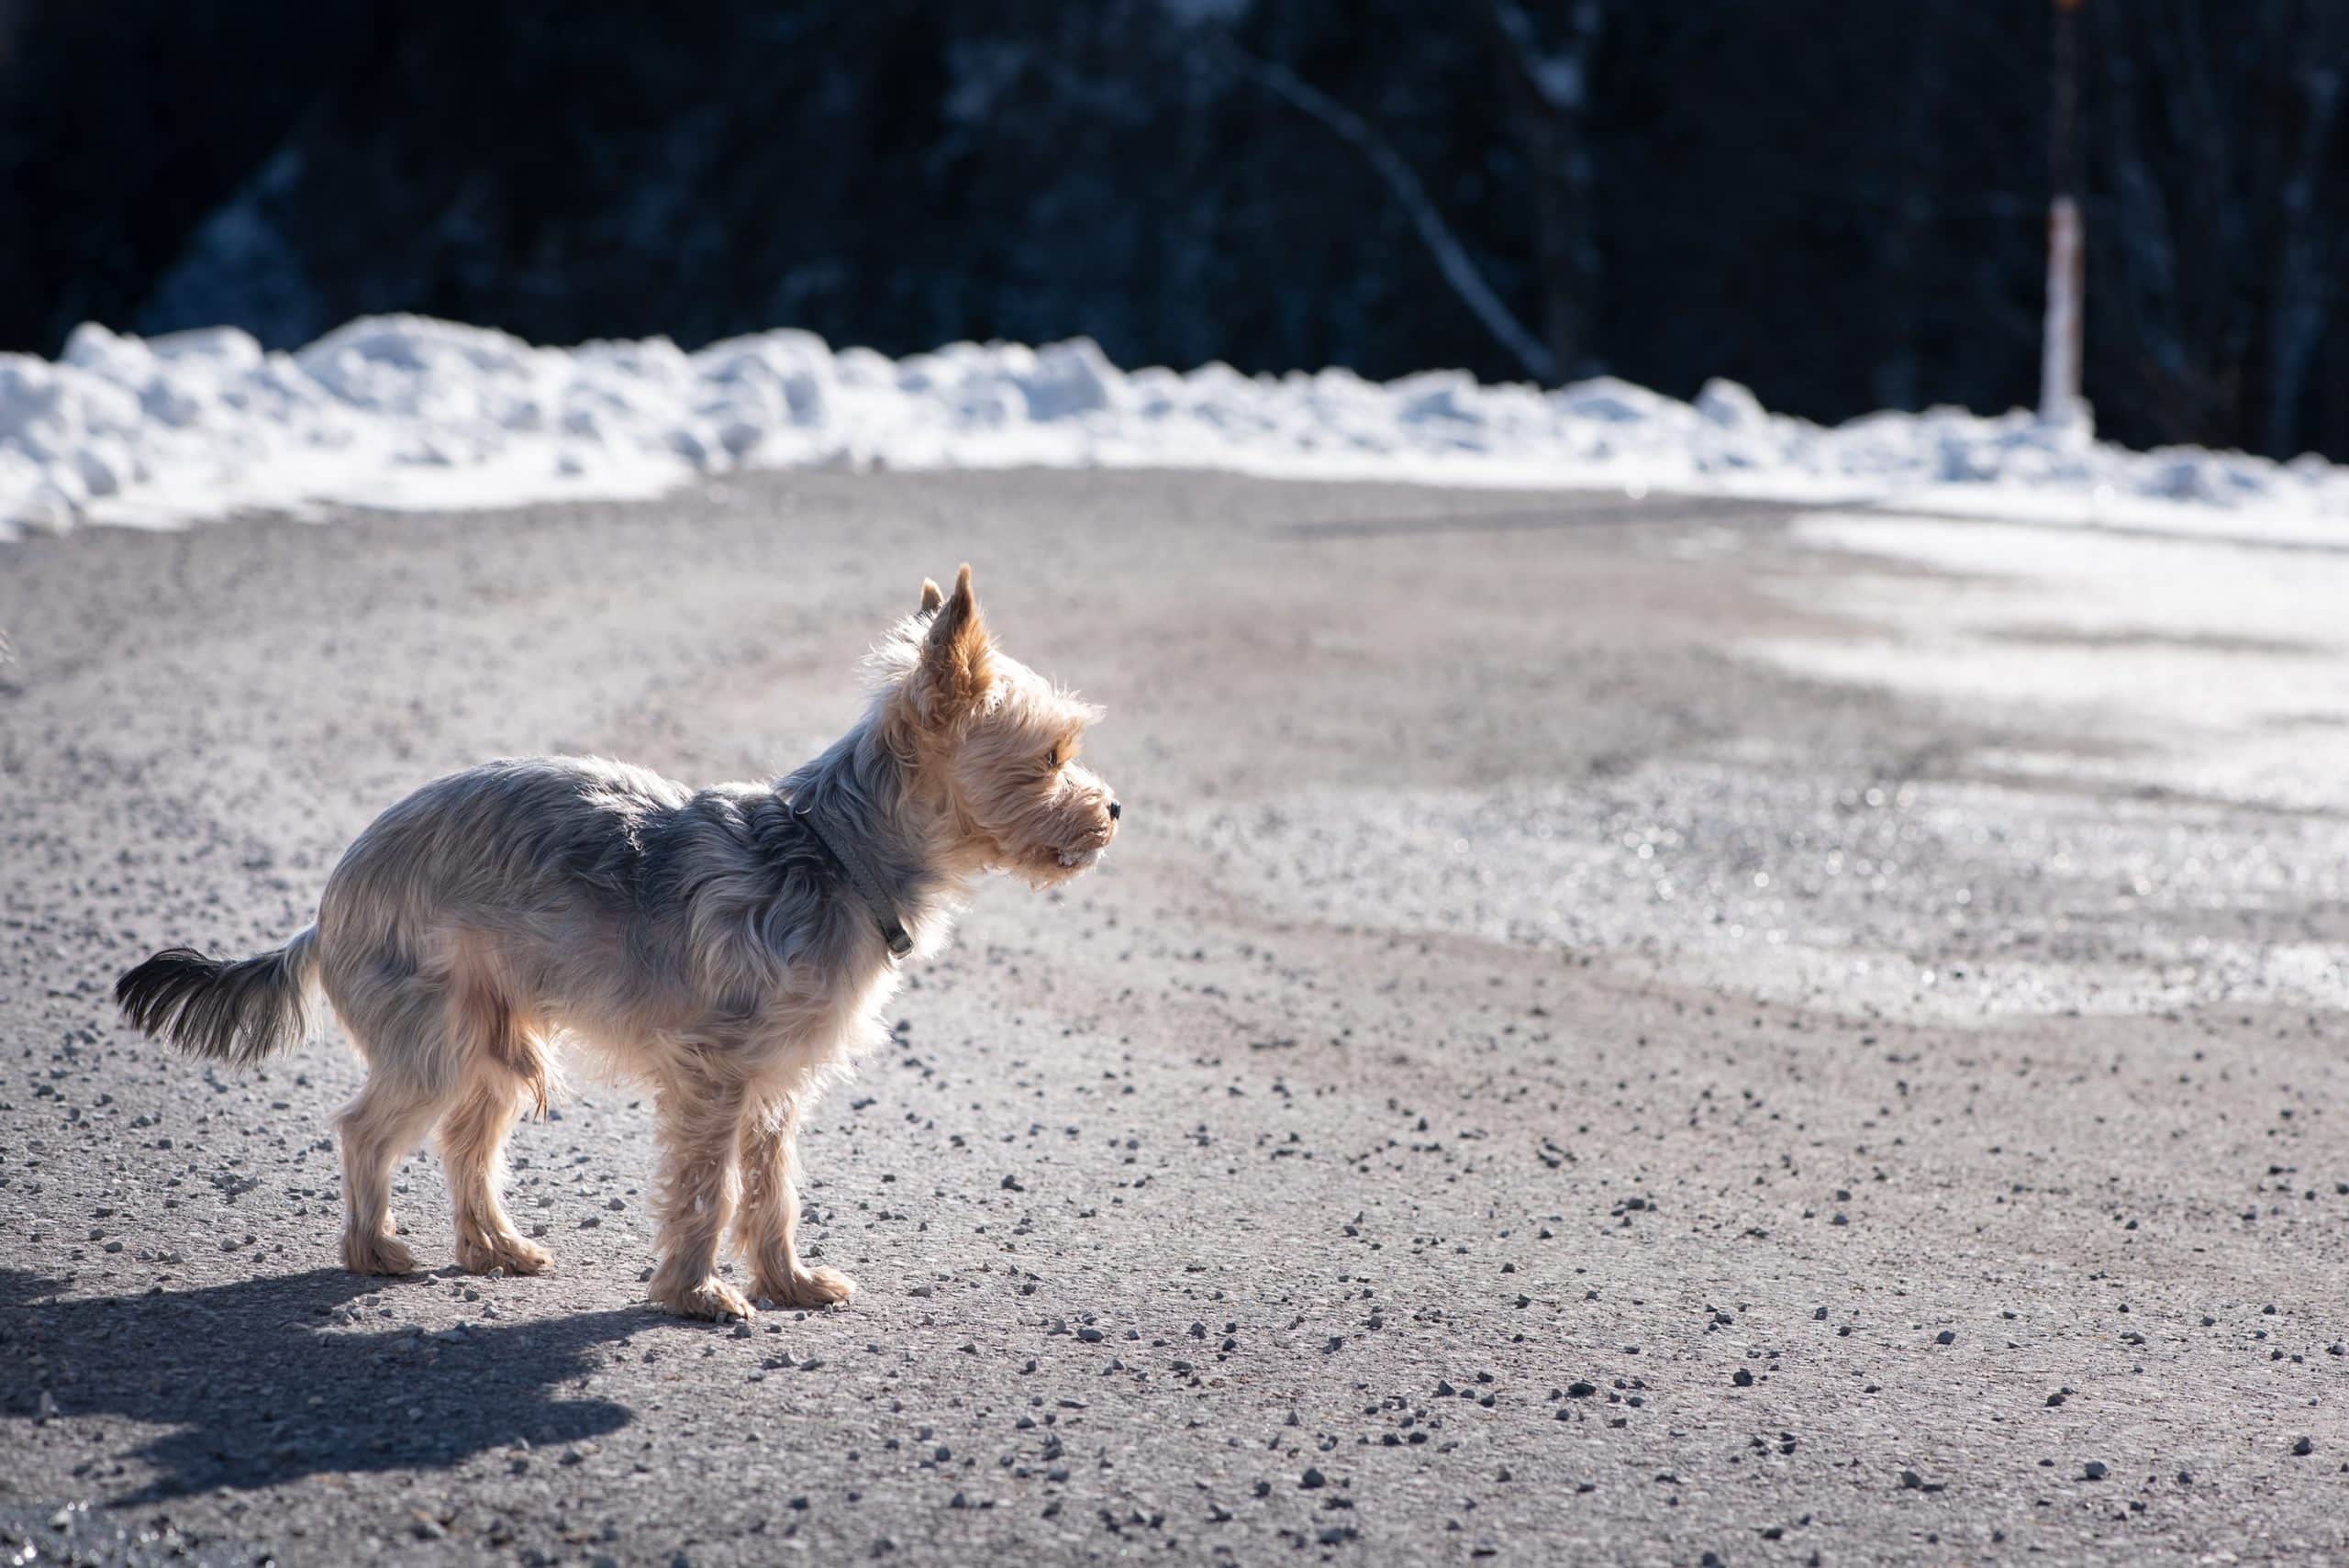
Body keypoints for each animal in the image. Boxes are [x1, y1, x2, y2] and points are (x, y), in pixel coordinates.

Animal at [114, 570, 1122, 1314]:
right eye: (1050, 758)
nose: (1114, 809)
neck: (837, 852)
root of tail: (328, 903)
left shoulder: (774, 1085)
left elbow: (772, 1188)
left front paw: (788, 1279)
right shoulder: (714, 1073)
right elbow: (708, 1188)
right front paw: (693, 1294)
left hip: (494, 1033)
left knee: (468, 1138)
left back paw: (495, 1247)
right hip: (433, 1036)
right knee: (368, 1127)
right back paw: (375, 1248)